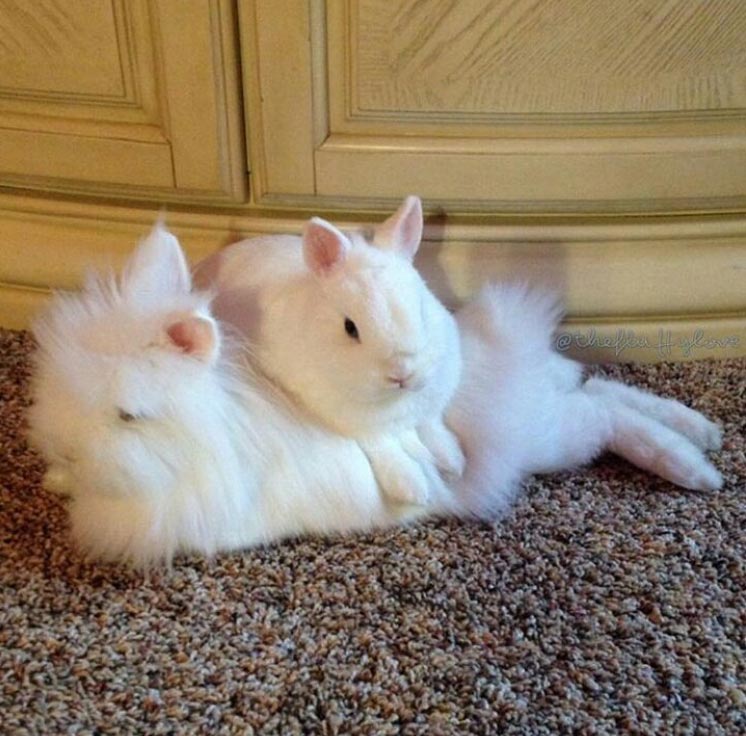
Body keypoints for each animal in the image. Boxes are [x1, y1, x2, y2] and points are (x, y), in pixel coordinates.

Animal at [195, 196, 462, 506]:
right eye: (350, 328)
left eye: (421, 307)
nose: (401, 375)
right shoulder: (358, 425)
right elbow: (385, 447)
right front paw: (412, 488)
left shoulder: (429, 409)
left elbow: (433, 426)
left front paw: (455, 462)